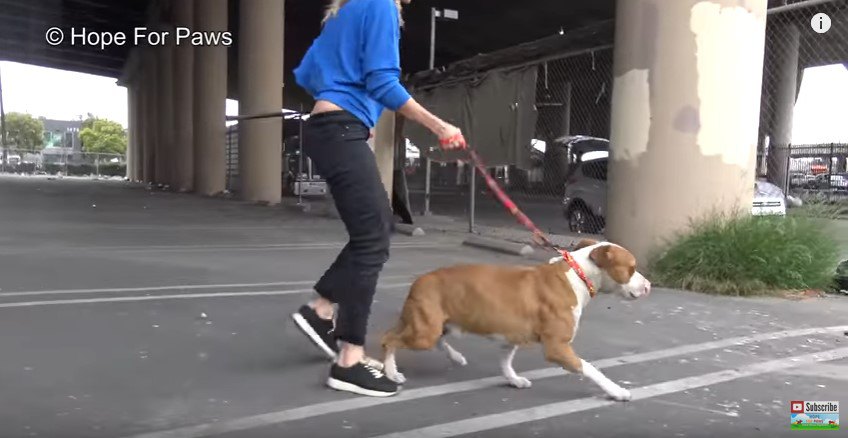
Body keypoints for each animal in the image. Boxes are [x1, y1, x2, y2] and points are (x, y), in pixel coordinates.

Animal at [380, 240, 652, 400]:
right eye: (631, 268)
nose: (649, 285)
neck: (578, 275)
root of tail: (419, 281)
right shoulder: (557, 347)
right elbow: (591, 368)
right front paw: (616, 391)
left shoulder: (512, 336)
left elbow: (505, 361)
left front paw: (513, 379)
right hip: (423, 332)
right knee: (389, 340)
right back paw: (392, 373)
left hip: (436, 325)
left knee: (435, 340)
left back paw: (455, 357)